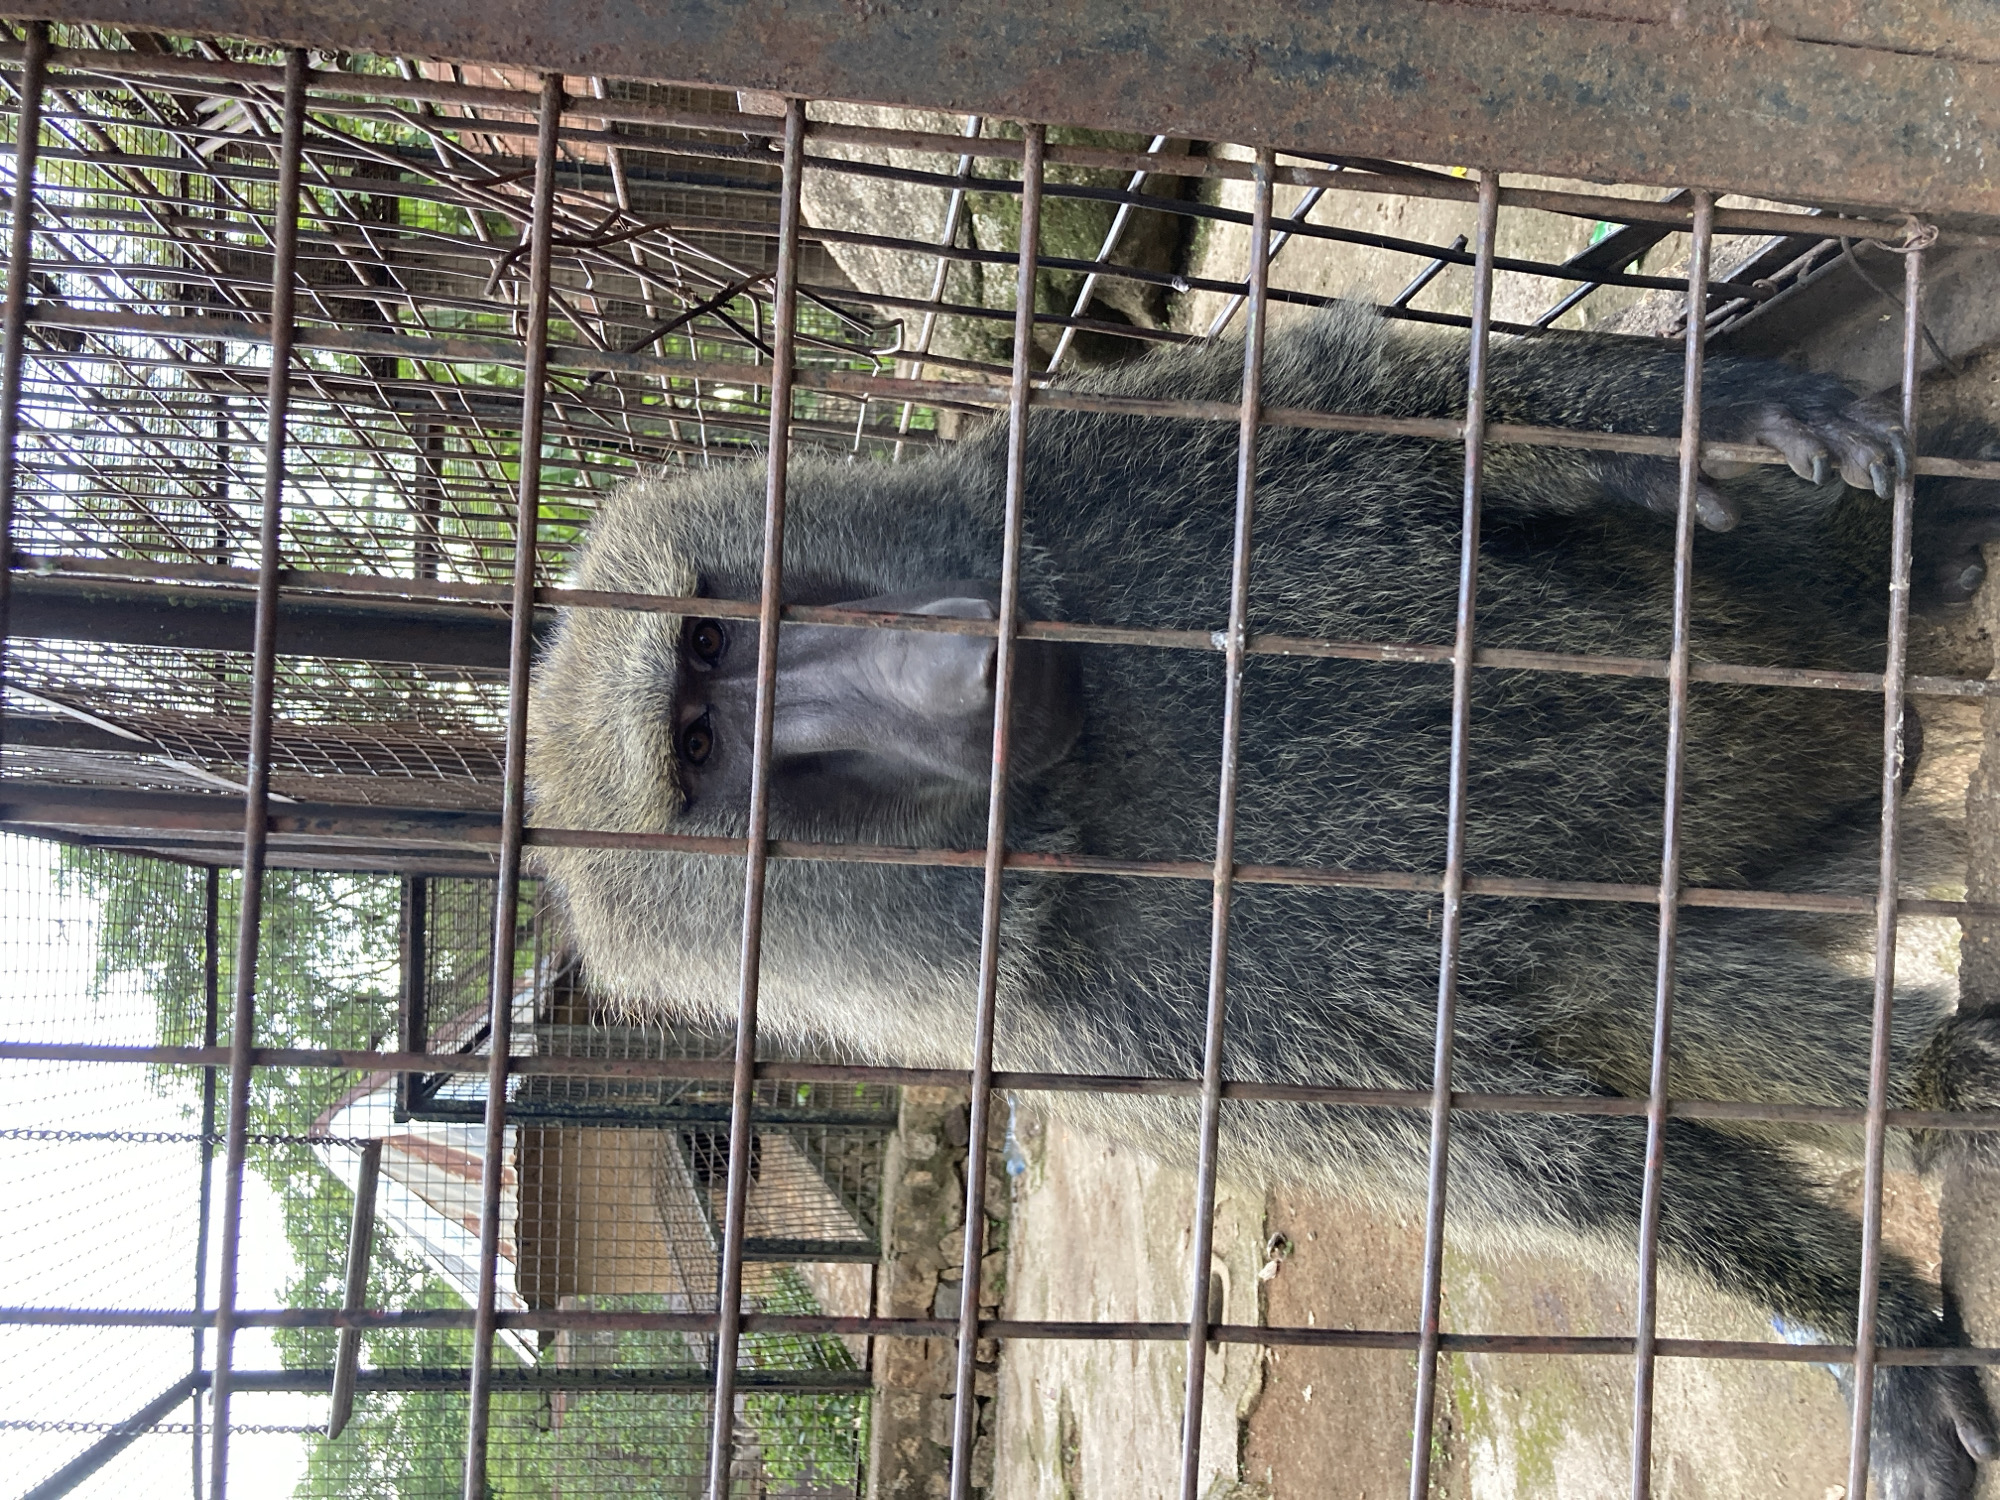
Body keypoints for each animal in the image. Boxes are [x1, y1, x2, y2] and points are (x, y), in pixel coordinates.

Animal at [526, 303, 2000, 1498]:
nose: (968, 668)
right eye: (702, 743)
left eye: (709, 633)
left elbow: (1402, 418)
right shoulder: (1106, 1028)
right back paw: (1934, 1083)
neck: (1087, 774)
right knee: (1612, 986)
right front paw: (1879, 1341)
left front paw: (1717, 410)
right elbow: (1545, 1148)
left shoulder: (1084, 466)